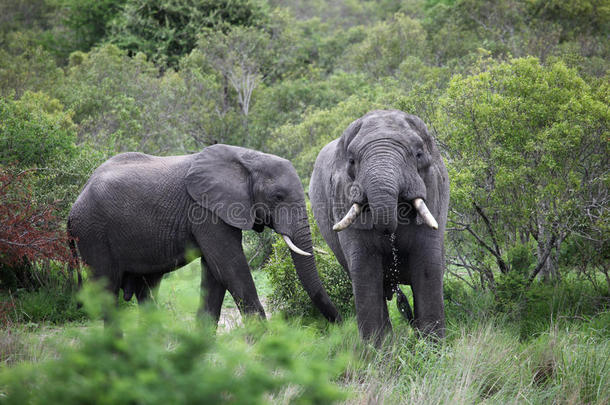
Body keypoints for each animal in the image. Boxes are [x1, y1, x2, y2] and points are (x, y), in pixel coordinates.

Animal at [70, 144, 342, 324]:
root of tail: (74, 206)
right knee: (105, 291)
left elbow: (214, 274)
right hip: (92, 233)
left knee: (146, 288)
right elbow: (229, 268)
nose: (341, 324)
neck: (248, 159)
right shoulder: (205, 211)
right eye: (278, 197)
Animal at [308, 109, 446, 340]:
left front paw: (433, 347)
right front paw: (377, 350)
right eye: (352, 161)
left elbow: (428, 266)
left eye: (418, 154)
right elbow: (365, 272)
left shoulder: (434, 191)